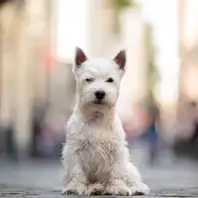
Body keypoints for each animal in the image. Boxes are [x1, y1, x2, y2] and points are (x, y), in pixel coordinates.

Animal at [61, 47, 149, 196]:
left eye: (110, 80)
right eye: (89, 79)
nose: (100, 93)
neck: (97, 117)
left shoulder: (116, 150)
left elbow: (116, 173)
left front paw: (118, 188)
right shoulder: (75, 149)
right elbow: (77, 171)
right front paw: (75, 187)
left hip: (129, 167)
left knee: (133, 179)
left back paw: (136, 188)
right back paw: (95, 188)